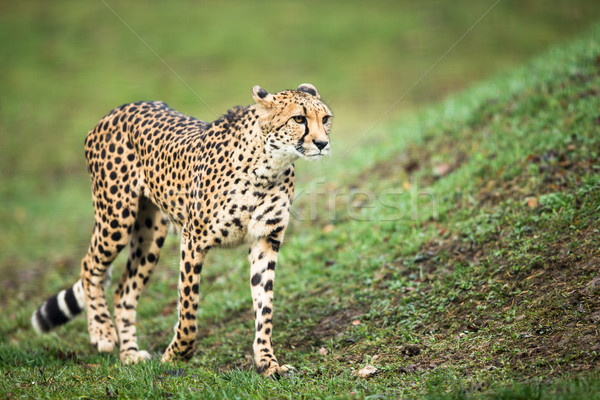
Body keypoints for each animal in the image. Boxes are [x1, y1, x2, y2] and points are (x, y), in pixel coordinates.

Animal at [31, 83, 332, 376]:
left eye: (326, 119)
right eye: (299, 119)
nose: (322, 143)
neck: (268, 165)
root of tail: (117, 110)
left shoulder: (265, 240)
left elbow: (264, 306)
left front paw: (267, 362)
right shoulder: (193, 240)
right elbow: (188, 308)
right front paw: (177, 355)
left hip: (150, 235)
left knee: (123, 291)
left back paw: (129, 354)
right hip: (116, 217)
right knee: (90, 266)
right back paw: (102, 333)